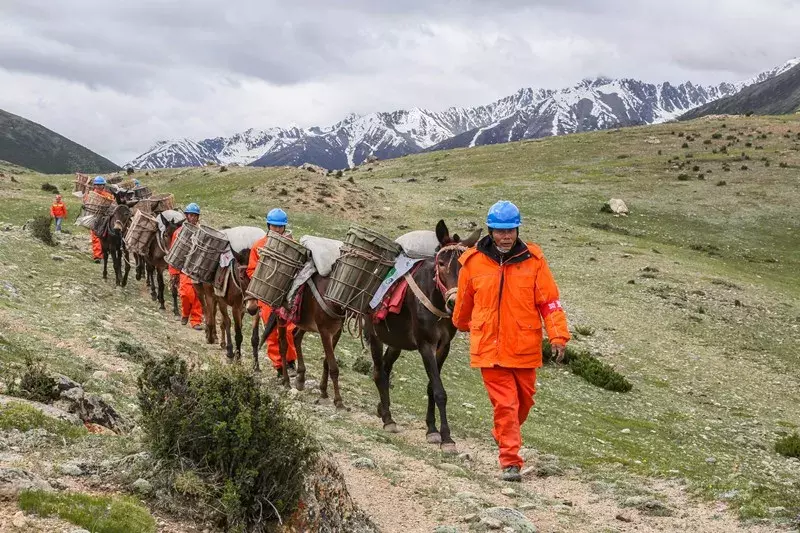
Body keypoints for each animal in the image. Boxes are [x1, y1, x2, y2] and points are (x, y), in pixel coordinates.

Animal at [364, 221, 482, 454]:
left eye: (465, 267)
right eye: (442, 263)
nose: (454, 302)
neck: (435, 298)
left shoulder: (443, 347)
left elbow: (431, 387)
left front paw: (432, 430)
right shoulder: (425, 345)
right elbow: (439, 390)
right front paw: (447, 438)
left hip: (396, 341)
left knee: (385, 368)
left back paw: (383, 409)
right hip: (375, 335)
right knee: (378, 372)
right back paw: (388, 419)